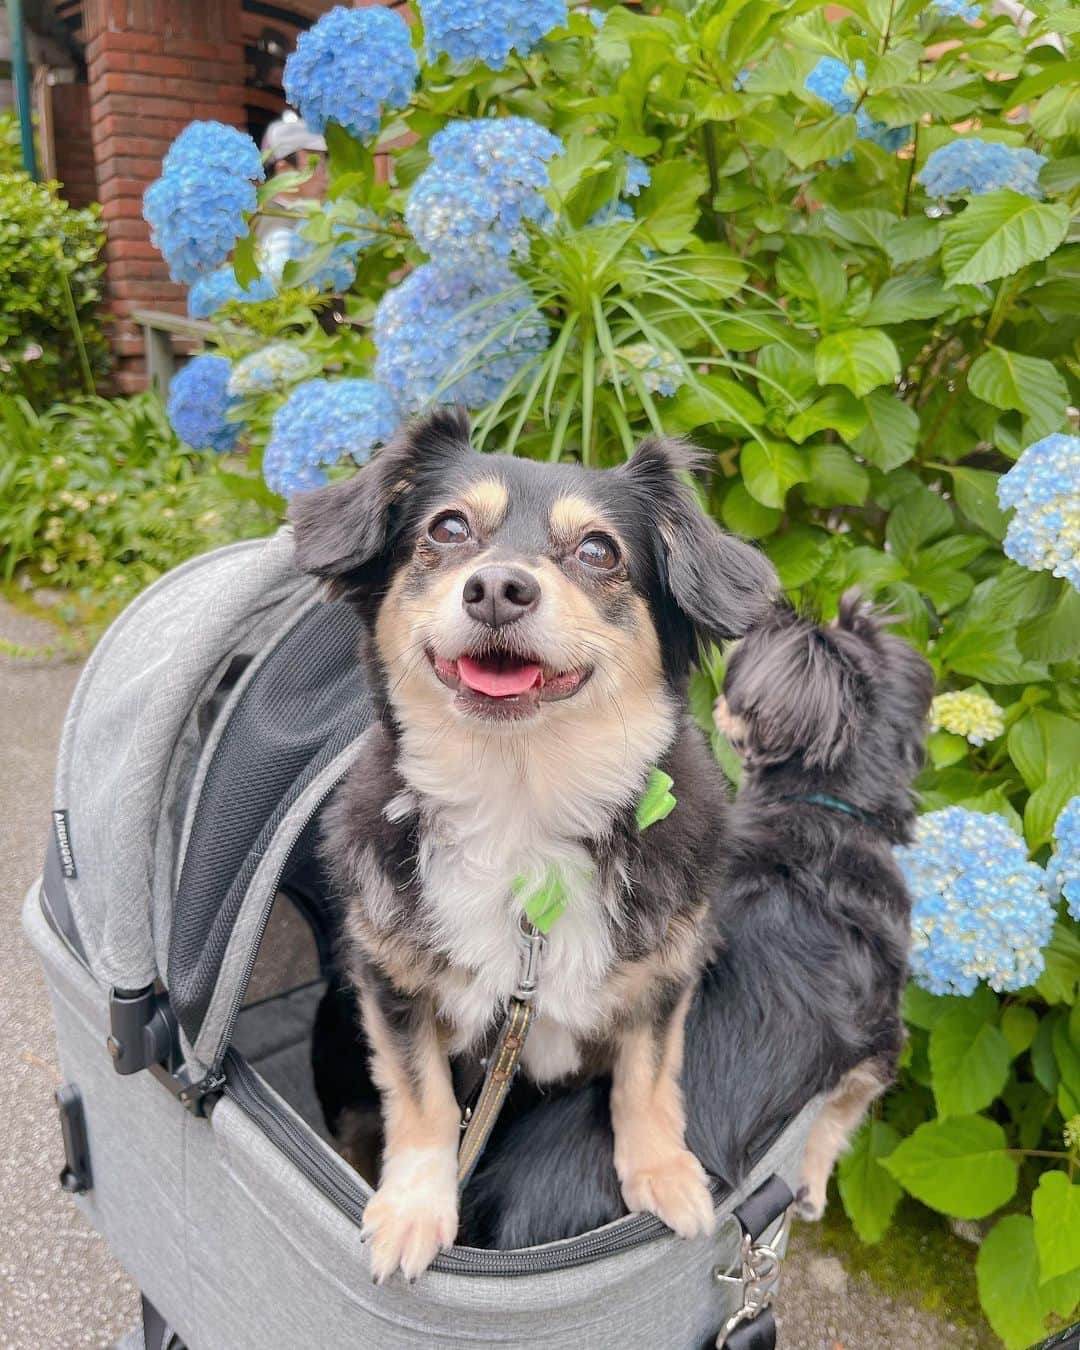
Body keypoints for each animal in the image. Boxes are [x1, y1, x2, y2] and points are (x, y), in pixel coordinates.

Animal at [286, 407, 777, 1274]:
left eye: (599, 550)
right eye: (447, 529)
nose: (496, 588)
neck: (522, 802)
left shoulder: (664, 973)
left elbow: (648, 1078)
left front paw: (664, 1173)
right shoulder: (392, 986)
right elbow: (421, 1100)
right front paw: (413, 1208)